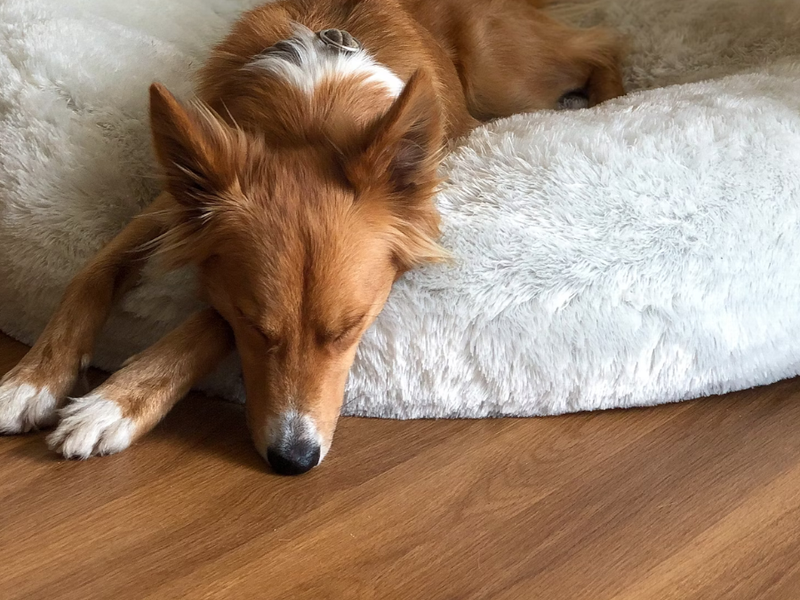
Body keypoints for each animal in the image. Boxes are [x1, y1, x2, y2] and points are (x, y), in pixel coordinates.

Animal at [0, 0, 624, 476]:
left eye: (350, 328)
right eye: (256, 326)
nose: (293, 460)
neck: (309, 118)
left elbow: (202, 323)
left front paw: (111, 405)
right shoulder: (171, 211)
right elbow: (91, 274)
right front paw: (33, 380)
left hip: (505, 79)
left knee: (601, 44)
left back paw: (610, 101)